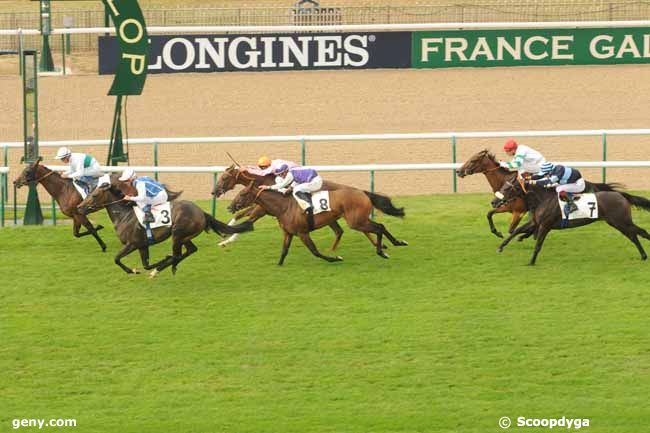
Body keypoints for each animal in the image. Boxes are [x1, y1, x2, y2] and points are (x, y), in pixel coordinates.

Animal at [78, 179, 253, 276]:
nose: (79, 207)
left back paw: (163, 267)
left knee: (177, 254)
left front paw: (134, 270)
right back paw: (170, 266)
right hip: (185, 236)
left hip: (177, 234)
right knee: (190, 250)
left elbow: (117, 259)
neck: (124, 215)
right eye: (89, 193)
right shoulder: (142, 245)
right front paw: (143, 268)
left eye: (94, 195)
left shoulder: (132, 244)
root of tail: (201, 212)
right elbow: (145, 264)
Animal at [230, 181, 408, 264]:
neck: (284, 207)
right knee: (381, 227)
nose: (230, 206)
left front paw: (335, 258)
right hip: (361, 219)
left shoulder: (302, 232)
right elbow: (284, 251)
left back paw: (382, 251)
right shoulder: (288, 233)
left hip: (356, 221)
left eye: (242, 194)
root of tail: (362, 192)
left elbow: (314, 251)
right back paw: (397, 243)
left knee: (378, 228)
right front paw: (278, 265)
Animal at [492, 178, 648, 264]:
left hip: (620, 221)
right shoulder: (536, 222)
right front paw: (500, 247)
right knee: (635, 235)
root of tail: (621, 195)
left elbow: (538, 245)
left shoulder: (545, 225)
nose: (494, 202)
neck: (543, 199)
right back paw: (643, 256)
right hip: (618, 222)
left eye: (507, 188)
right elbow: (517, 231)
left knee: (639, 233)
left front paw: (531, 262)